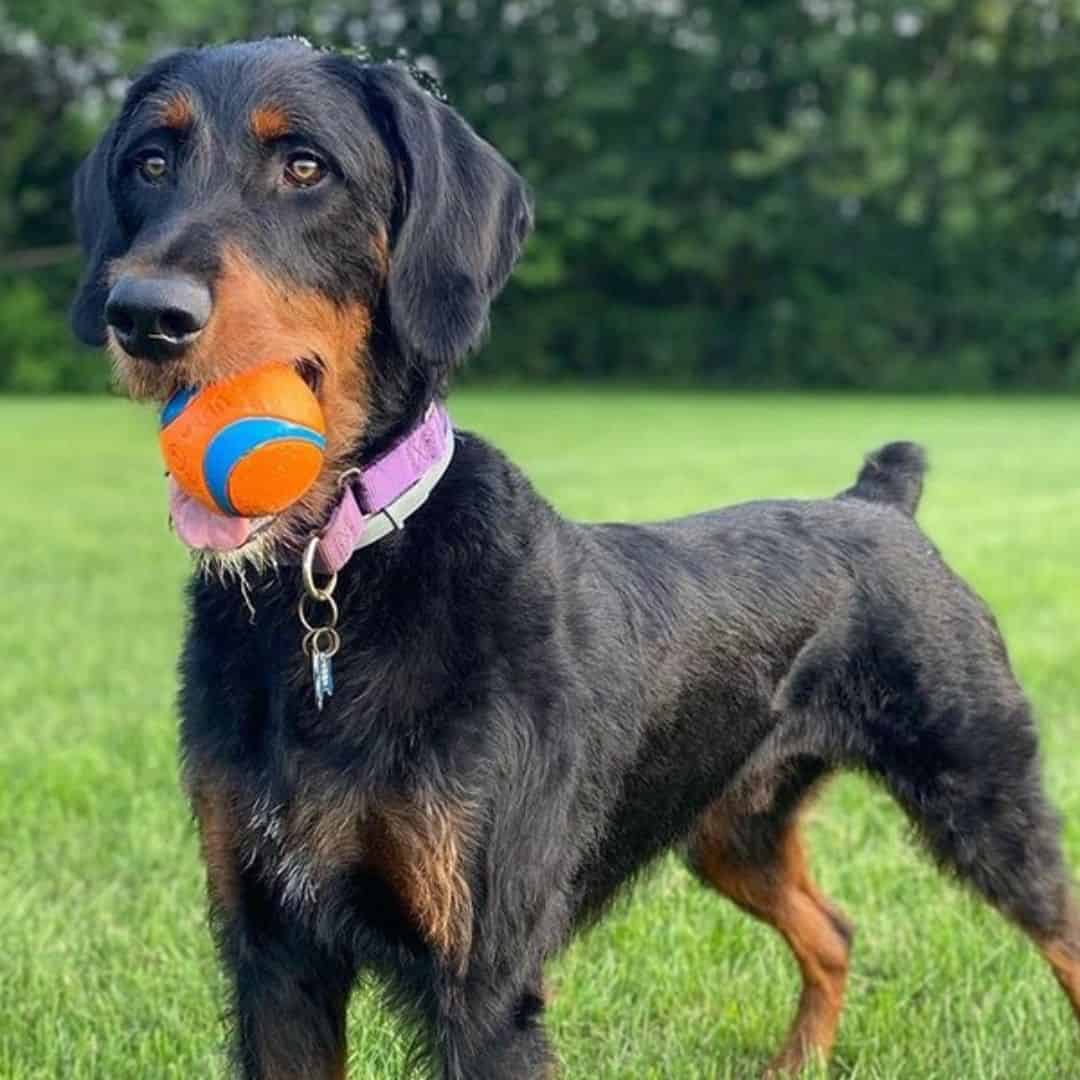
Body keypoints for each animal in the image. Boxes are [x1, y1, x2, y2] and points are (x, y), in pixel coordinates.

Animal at [71, 35, 1075, 1080]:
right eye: (150, 162)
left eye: (305, 166)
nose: (144, 314)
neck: (331, 586)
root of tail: (878, 501)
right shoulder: (273, 952)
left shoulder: (484, 977)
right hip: (736, 825)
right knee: (832, 930)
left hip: (983, 786)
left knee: (1062, 936)